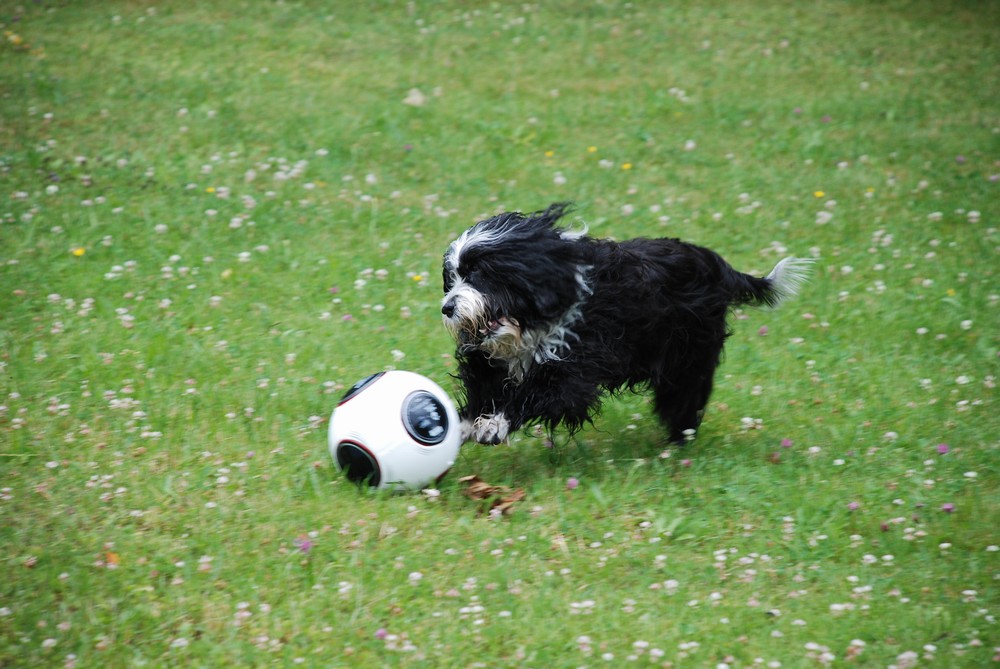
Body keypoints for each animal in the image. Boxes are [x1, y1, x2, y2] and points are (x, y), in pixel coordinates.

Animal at [440, 204, 812, 444]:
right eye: (452, 278)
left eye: (478, 272)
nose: (447, 308)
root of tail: (717, 264)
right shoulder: (490, 363)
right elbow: (483, 391)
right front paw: (464, 424)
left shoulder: (574, 370)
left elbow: (541, 393)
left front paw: (495, 426)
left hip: (689, 356)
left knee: (686, 396)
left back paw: (680, 441)